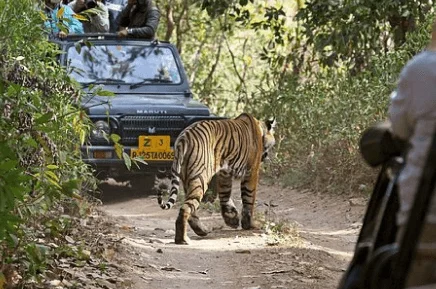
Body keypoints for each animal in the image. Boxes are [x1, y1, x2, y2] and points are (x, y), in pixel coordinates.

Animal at [155, 112, 274, 243]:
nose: (267, 156)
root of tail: (184, 137)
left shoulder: (224, 173)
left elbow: (225, 195)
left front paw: (231, 219)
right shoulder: (252, 171)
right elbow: (249, 199)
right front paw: (250, 224)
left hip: (187, 178)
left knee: (191, 209)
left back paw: (201, 230)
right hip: (200, 177)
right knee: (185, 208)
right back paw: (183, 239)